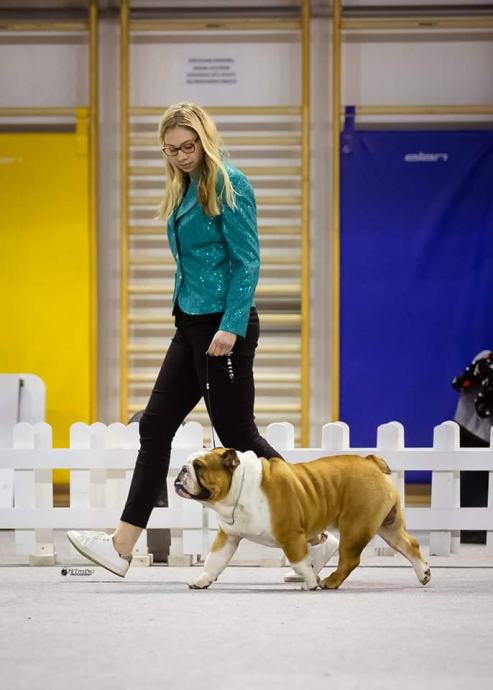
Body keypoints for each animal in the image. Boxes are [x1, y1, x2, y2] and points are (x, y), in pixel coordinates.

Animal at [174, 448, 431, 590]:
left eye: (199, 466)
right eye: (188, 464)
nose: (182, 470)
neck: (239, 487)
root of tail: (371, 461)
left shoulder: (290, 536)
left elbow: (298, 562)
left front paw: (309, 582)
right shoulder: (228, 536)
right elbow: (214, 560)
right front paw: (202, 580)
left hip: (356, 527)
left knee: (349, 560)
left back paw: (330, 582)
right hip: (388, 526)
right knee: (410, 545)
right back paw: (424, 573)